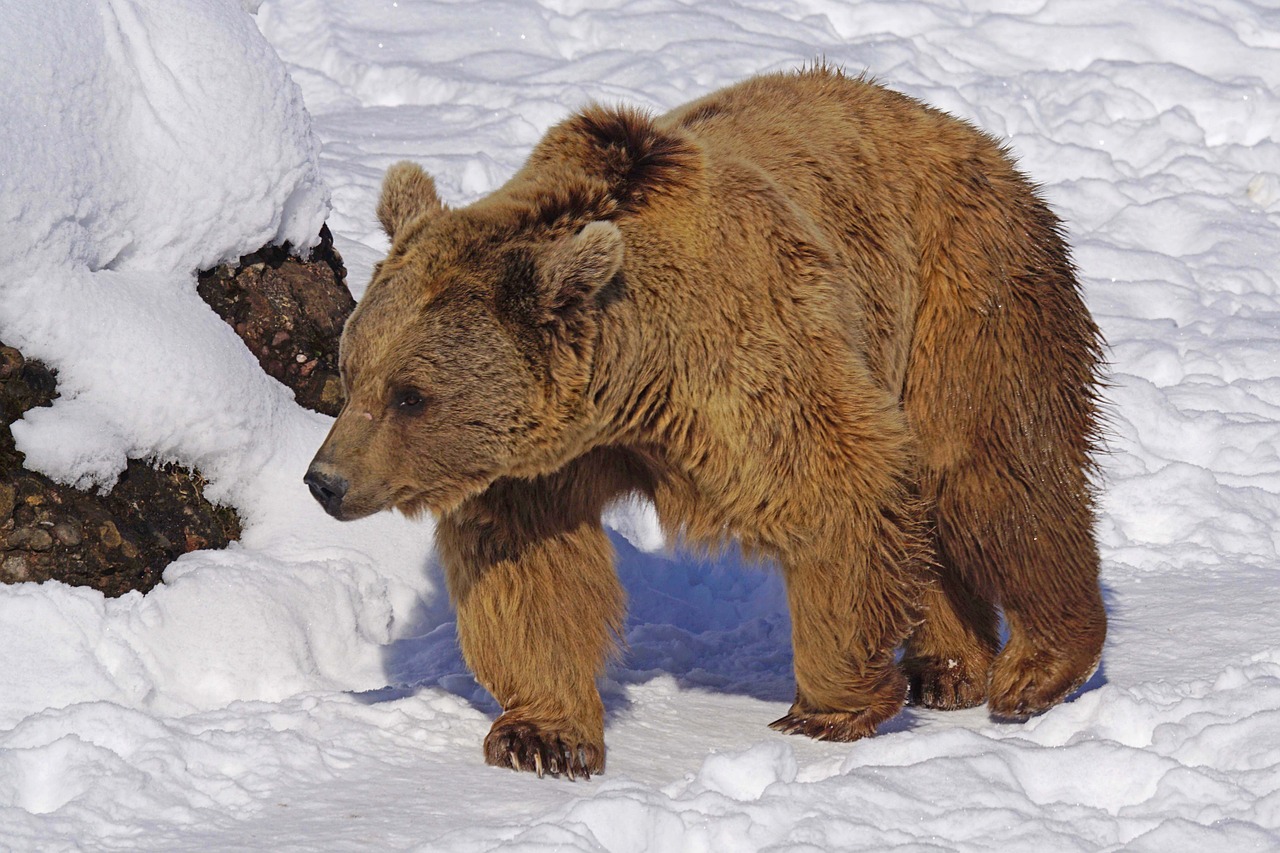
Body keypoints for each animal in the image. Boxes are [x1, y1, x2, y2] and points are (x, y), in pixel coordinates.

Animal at [304, 68, 1105, 778]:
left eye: (411, 395)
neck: (627, 382)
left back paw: (1038, 667)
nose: (325, 481)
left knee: (992, 472)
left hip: (960, 291)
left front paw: (826, 708)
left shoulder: (743, 361)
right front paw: (542, 738)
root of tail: (959, 130)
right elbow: (530, 568)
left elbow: (838, 486)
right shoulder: (541, 458)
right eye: (352, 369)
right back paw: (947, 666)